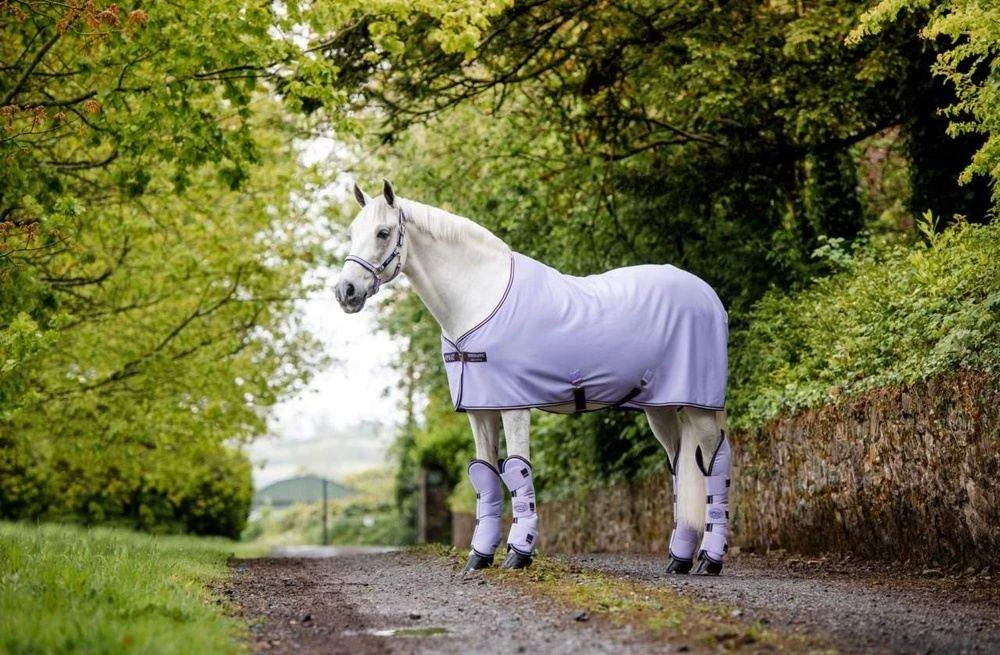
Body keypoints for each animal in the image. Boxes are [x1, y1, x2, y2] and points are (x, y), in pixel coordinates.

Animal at [335, 179, 731, 575]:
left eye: (383, 233)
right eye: (352, 232)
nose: (345, 292)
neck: (480, 298)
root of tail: (708, 295)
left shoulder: (514, 405)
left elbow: (517, 471)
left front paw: (518, 554)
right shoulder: (481, 408)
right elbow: (485, 476)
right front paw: (479, 557)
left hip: (699, 407)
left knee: (716, 465)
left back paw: (708, 561)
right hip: (661, 408)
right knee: (680, 467)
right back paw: (679, 559)